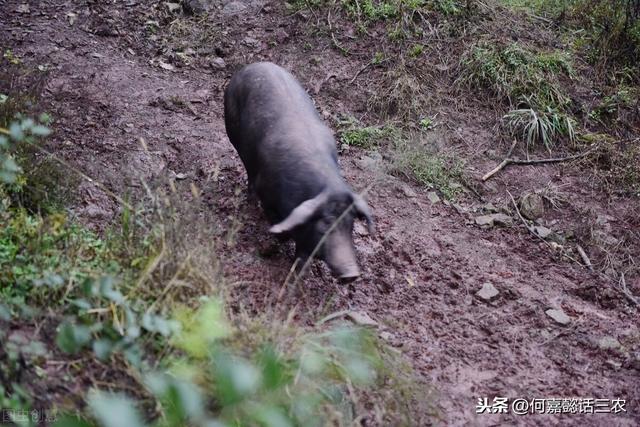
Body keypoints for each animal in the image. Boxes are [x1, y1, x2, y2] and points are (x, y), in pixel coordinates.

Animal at [225, 61, 376, 280]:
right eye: (326, 224)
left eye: (350, 223)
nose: (352, 274)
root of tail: (252, 65)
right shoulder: (267, 193)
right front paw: (274, 242)